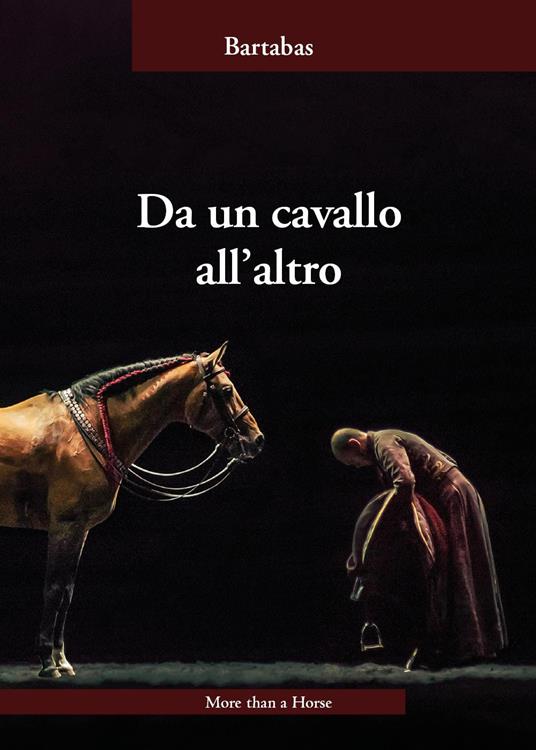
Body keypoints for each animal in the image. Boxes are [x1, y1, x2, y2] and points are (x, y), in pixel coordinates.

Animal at [0, 341, 264, 678]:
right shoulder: (65, 525)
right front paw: (48, 662)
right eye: (227, 389)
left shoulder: (80, 530)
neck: (88, 430)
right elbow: (55, 588)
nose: (256, 439)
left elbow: (67, 593)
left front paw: (61, 659)